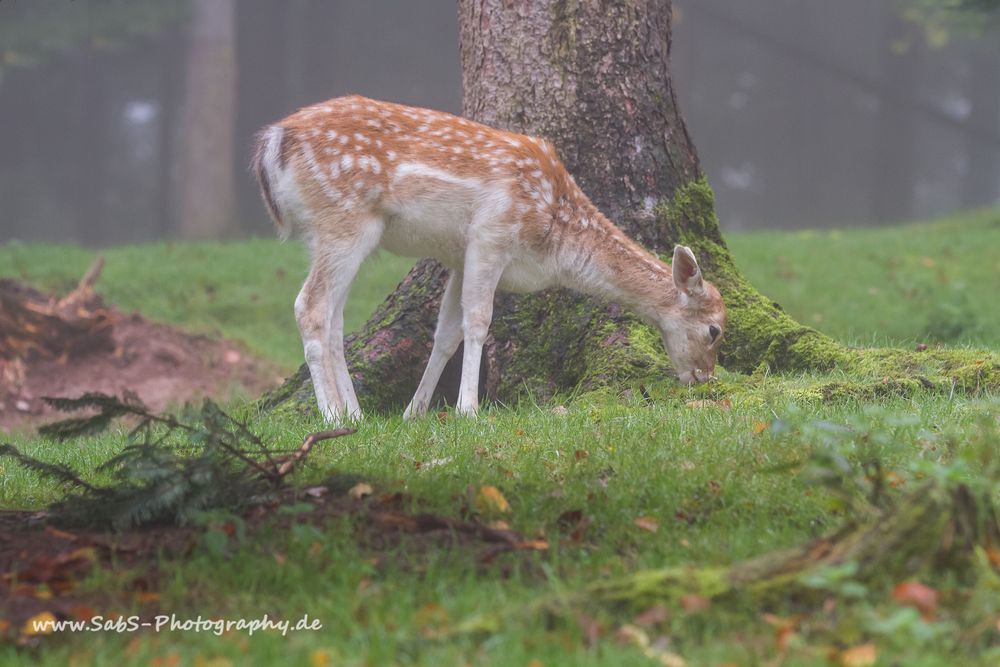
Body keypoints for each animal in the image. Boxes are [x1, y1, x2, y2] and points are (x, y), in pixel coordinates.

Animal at [252, 96, 728, 420]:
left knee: (335, 319)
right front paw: (469, 409)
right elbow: (479, 321)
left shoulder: (459, 257)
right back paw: (331, 414)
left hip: (336, 234)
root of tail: (273, 142)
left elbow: (446, 334)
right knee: (310, 306)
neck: (554, 238)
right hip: (345, 219)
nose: (705, 378)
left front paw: (414, 412)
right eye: (715, 330)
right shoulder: (491, 235)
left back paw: (356, 413)